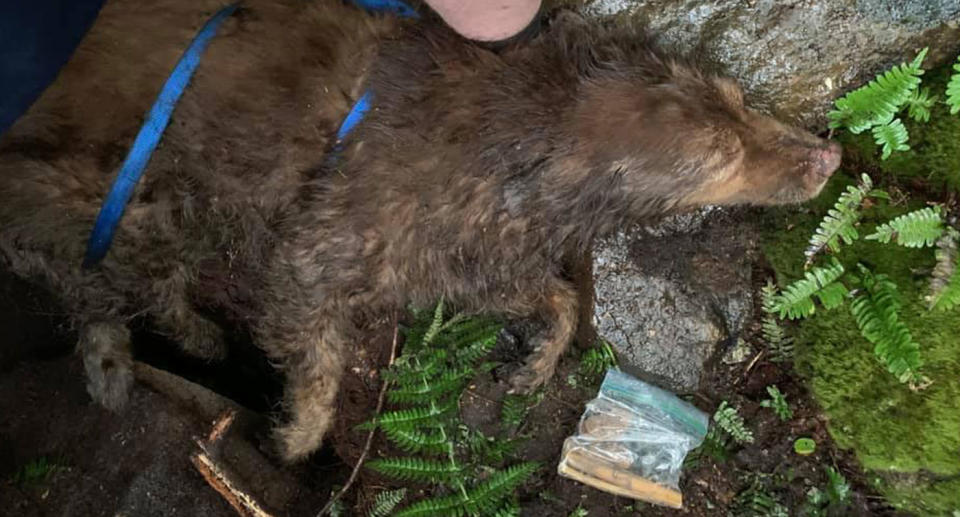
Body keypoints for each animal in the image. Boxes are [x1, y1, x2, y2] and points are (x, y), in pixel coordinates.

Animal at [0, 0, 836, 460]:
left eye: (739, 98)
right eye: (718, 157)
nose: (829, 154)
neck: (517, 131)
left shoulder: (460, 252)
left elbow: (561, 299)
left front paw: (538, 361)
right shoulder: (317, 258)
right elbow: (320, 368)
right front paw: (297, 438)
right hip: (127, 195)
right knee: (75, 269)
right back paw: (118, 352)